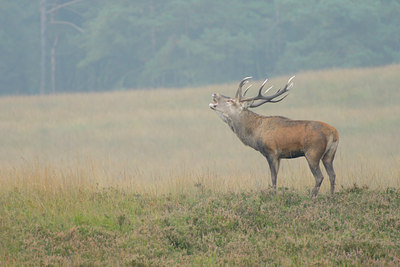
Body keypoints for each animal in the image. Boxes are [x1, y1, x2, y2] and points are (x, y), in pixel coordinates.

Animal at [209, 76, 338, 198]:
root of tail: (334, 133)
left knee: (319, 176)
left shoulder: (271, 152)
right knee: (332, 175)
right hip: (329, 155)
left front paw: (274, 196)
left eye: (230, 101)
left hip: (312, 152)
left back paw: (312, 197)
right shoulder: (279, 156)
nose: (215, 93)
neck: (255, 134)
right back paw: (331, 196)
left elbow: (273, 178)